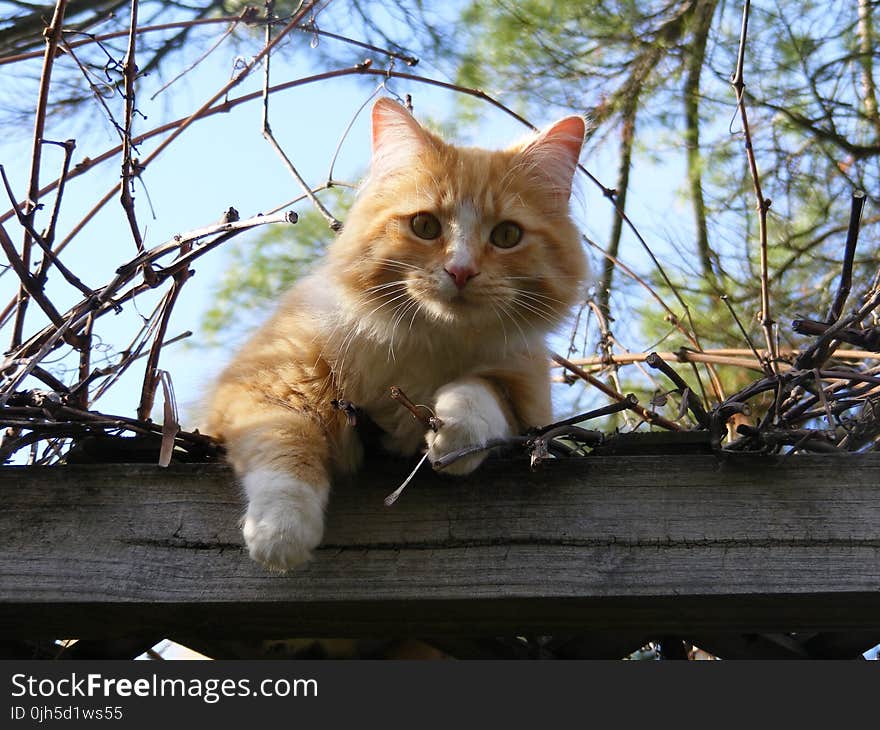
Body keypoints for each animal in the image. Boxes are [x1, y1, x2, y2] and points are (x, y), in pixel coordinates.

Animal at [205, 98, 588, 568]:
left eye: (506, 235)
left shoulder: (528, 394)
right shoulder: (262, 386)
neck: (427, 342)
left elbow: (482, 392)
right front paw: (281, 534)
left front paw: (455, 436)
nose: (461, 271)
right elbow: (287, 446)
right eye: (425, 226)